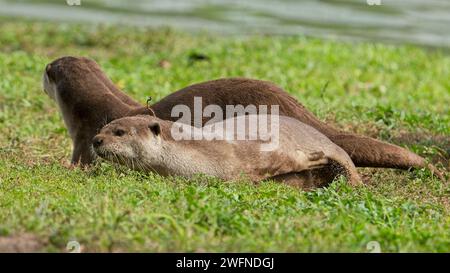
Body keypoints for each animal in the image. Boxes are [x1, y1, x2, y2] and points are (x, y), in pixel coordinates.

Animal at [92, 113, 362, 188]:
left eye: (119, 132)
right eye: (103, 127)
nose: (96, 140)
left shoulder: (250, 152)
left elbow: (287, 158)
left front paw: (312, 158)